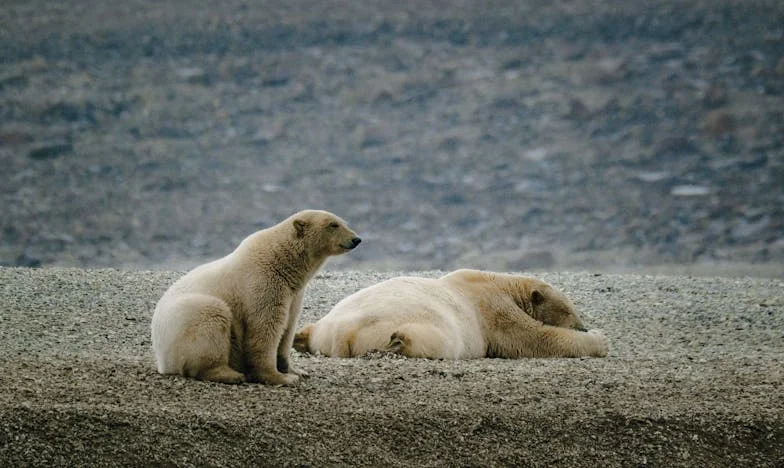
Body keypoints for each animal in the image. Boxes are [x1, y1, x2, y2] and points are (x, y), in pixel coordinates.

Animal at [150, 210, 362, 386]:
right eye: (333, 225)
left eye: (343, 222)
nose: (356, 239)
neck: (282, 263)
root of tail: (161, 360)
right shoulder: (263, 285)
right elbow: (265, 329)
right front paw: (281, 378)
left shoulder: (293, 294)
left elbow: (288, 328)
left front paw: (297, 371)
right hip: (190, 316)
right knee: (211, 321)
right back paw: (230, 374)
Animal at [294, 268, 608, 360]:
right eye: (569, 310)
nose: (582, 326)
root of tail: (342, 334)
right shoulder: (492, 308)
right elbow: (534, 339)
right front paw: (599, 338)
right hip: (430, 330)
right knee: (428, 339)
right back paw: (398, 342)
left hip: (327, 324)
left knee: (310, 328)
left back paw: (299, 337)